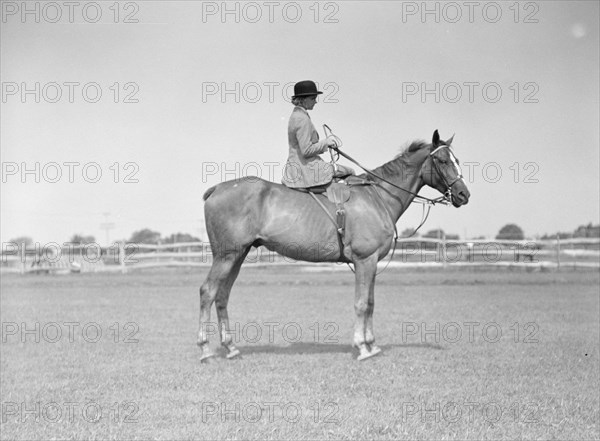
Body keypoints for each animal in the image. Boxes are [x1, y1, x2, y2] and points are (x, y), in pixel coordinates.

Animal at [199, 128, 472, 360]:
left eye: (457, 159)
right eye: (443, 161)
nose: (464, 195)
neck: (377, 196)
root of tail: (217, 188)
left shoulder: (372, 263)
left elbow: (370, 303)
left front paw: (372, 343)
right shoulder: (365, 260)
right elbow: (361, 304)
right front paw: (362, 347)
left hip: (238, 255)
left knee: (222, 295)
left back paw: (230, 347)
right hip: (226, 255)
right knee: (208, 291)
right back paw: (205, 350)